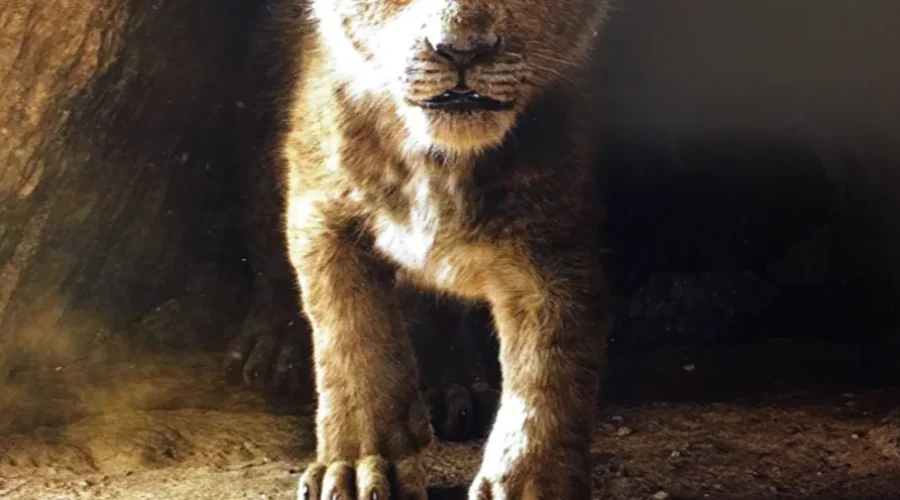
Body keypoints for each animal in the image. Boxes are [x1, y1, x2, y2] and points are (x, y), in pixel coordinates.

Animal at [241, 0, 613, 497]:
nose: (461, 50)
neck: (439, 159)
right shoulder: (322, 209)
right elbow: (352, 339)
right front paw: (358, 464)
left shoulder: (553, 241)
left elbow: (550, 367)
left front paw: (531, 482)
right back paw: (271, 350)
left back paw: (454, 386)